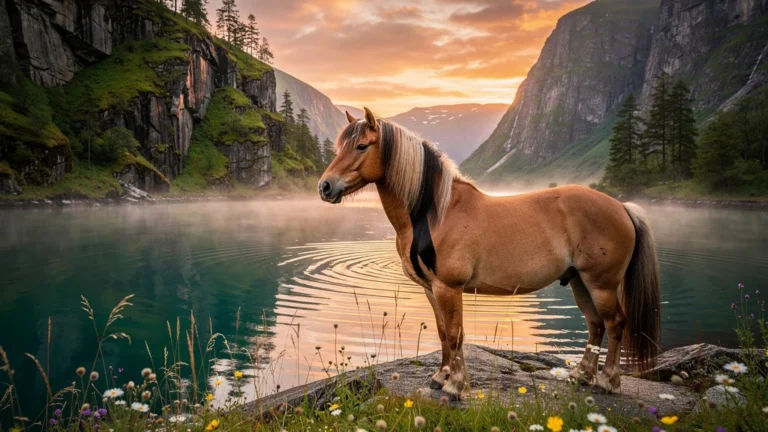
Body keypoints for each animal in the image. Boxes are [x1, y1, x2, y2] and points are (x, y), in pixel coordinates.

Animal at [318, 107, 661, 398]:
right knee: (596, 325)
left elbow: (455, 334)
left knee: (615, 323)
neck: (436, 213)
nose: (325, 187)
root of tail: (622, 207)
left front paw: (456, 386)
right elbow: (442, 333)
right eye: (339, 147)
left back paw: (608, 381)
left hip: (601, 284)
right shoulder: (432, 289)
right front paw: (441, 377)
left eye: (362, 146)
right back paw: (581, 375)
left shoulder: (449, 288)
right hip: (580, 282)